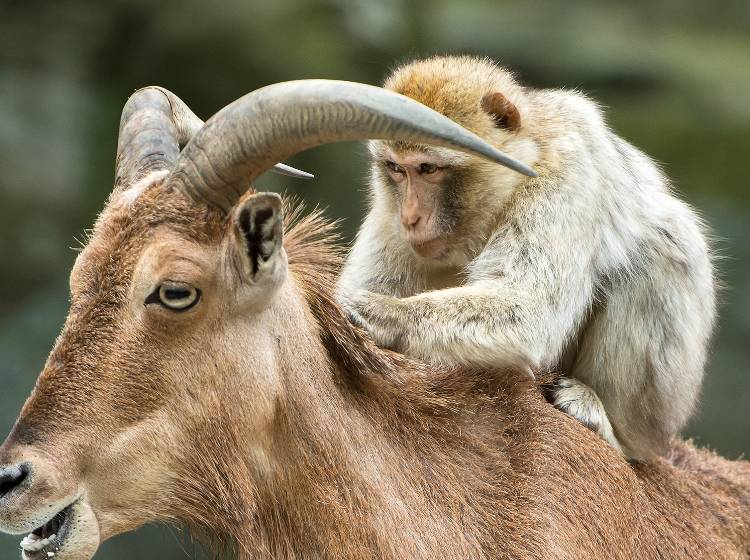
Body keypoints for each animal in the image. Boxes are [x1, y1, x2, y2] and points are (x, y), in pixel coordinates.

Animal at [338, 54, 720, 462]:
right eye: (396, 168)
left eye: (428, 168)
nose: (410, 218)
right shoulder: (387, 209)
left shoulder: (563, 179)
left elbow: (527, 309)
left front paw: (383, 313)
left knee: (661, 248)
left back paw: (613, 430)